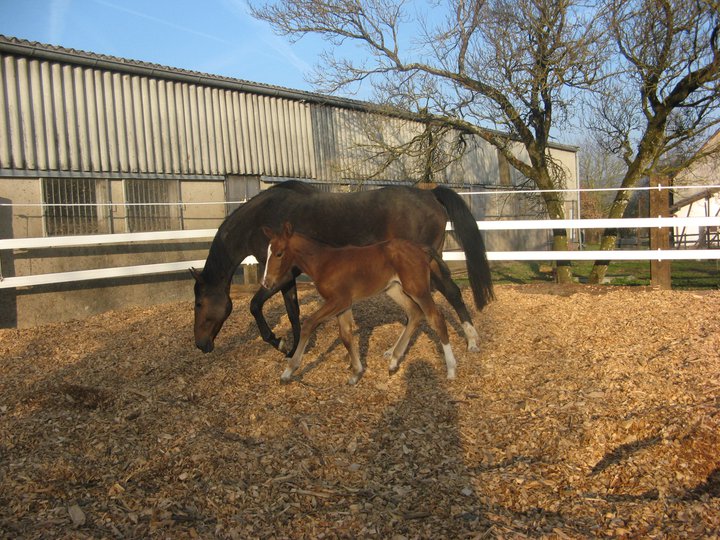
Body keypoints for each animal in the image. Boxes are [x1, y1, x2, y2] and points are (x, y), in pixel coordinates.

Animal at [191, 180, 494, 356]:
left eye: (199, 304)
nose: (200, 344)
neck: (260, 219)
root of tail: (429, 194)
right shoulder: (286, 276)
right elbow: (293, 311)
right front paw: (295, 349)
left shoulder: (276, 275)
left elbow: (255, 306)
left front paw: (278, 342)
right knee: (442, 297)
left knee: (449, 293)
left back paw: (471, 341)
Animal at [261, 222, 457, 384]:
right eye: (268, 252)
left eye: (279, 253)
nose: (266, 283)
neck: (323, 263)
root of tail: (421, 248)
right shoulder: (343, 304)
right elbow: (346, 335)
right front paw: (356, 372)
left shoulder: (339, 300)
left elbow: (310, 323)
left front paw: (288, 371)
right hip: (394, 288)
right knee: (414, 313)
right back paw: (394, 360)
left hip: (417, 289)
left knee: (436, 317)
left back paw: (451, 369)